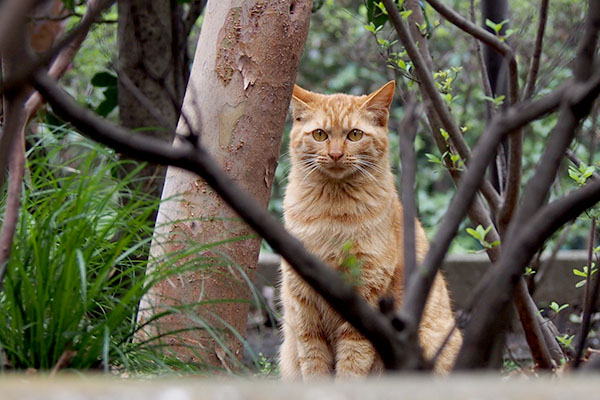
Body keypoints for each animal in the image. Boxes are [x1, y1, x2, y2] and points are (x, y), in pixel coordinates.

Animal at [278, 81, 462, 378]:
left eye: (354, 135)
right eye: (319, 134)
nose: (336, 154)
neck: (332, 214)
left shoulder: (365, 297)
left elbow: (352, 365)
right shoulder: (304, 309)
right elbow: (314, 364)